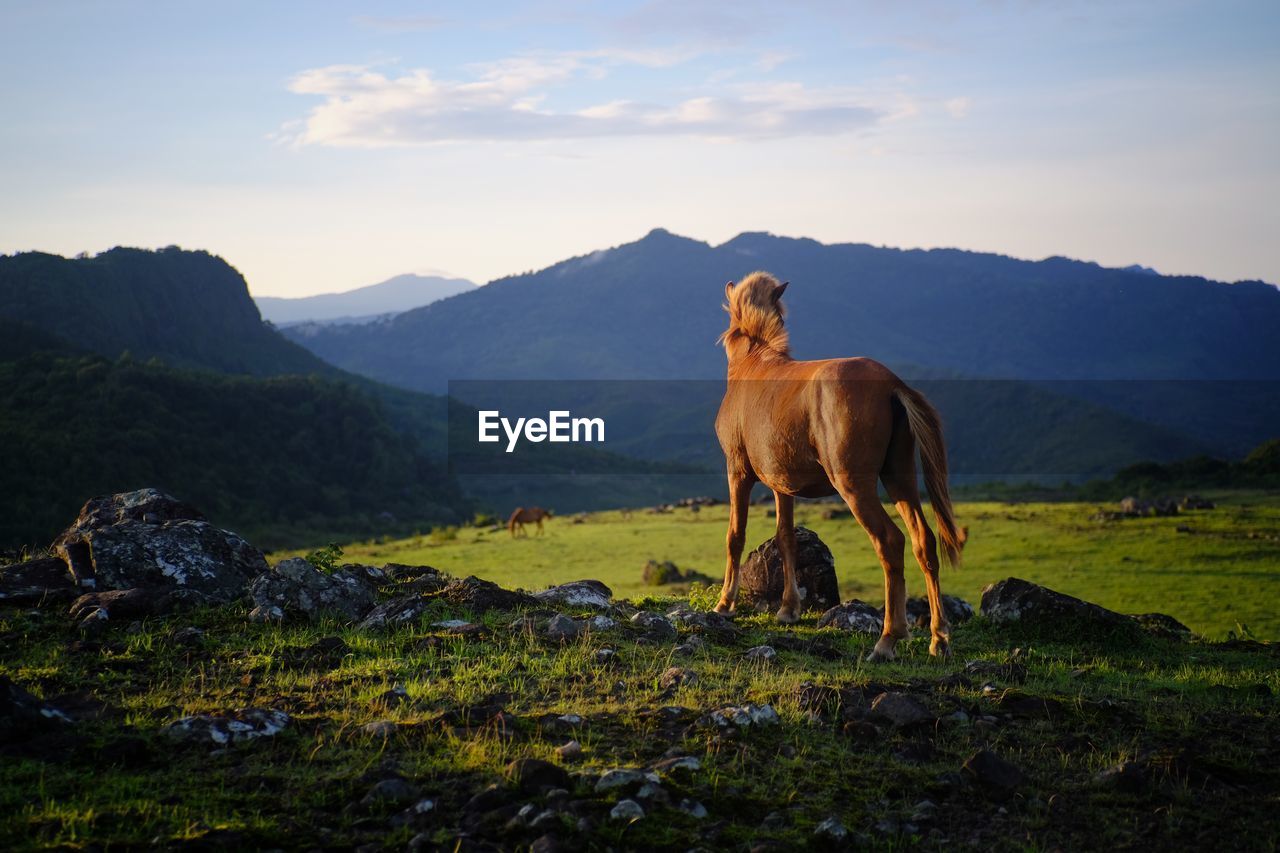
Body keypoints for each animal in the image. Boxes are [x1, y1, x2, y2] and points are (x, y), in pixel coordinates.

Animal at [711, 270, 962, 655]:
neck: (753, 364)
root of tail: (891, 384)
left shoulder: (737, 472)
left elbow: (734, 536)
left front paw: (725, 604)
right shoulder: (782, 485)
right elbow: (786, 538)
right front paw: (789, 609)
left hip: (854, 486)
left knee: (891, 542)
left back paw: (888, 638)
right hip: (899, 478)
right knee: (924, 541)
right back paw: (938, 638)